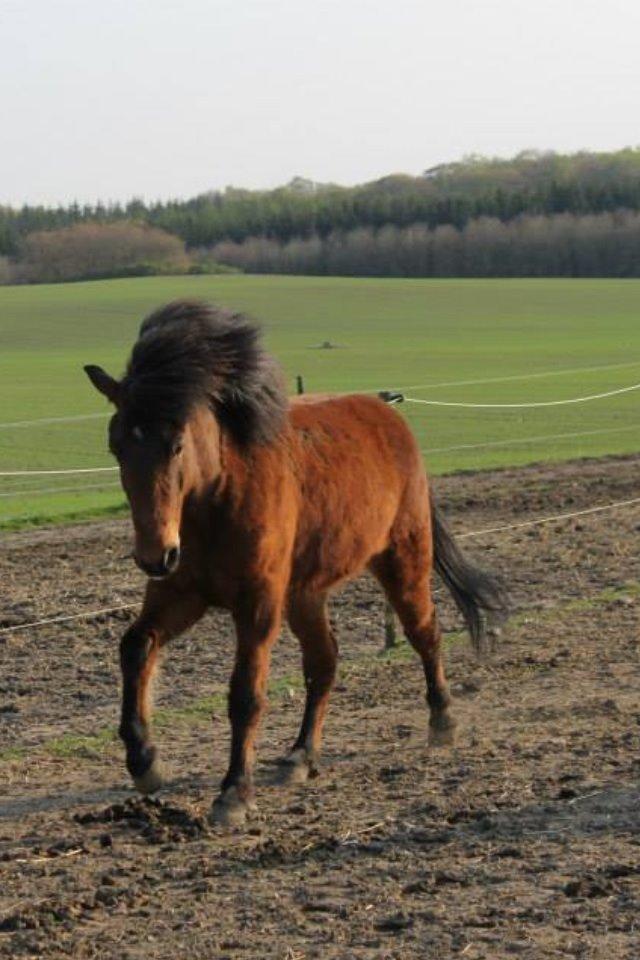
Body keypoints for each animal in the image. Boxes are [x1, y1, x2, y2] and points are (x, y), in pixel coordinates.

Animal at [84, 300, 504, 824]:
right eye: (117, 445)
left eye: (176, 444)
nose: (154, 554)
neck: (217, 497)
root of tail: (387, 414)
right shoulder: (180, 594)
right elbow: (136, 646)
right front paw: (146, 761)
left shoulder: (258, 603)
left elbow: (246, 694)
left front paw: (233, 793)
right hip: (306, 593)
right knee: (324, 660)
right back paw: (301, 756)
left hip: (403, 560)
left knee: (424, 632)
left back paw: (442, 721)